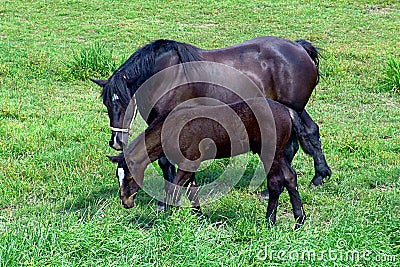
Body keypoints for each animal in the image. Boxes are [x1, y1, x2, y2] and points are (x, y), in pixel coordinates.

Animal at [94, 36, 332, 193]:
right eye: (106, 104)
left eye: (124, 102)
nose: (116, 141)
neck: (166, 76)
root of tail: (300, 48)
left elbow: (165, 160)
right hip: (294, 110)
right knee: (310, 132)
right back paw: (319, 176)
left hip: (293, 108)